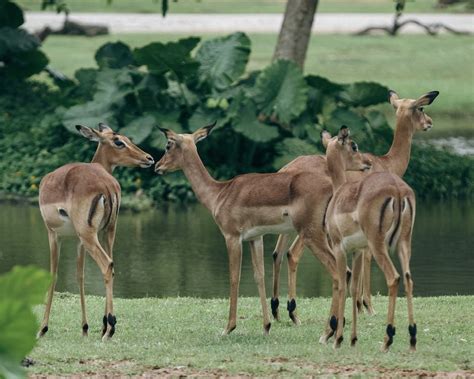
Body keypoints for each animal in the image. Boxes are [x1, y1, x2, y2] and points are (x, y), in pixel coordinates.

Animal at [36, 123, 154, 340]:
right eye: (119, 141)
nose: (149, 158)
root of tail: (107, 184)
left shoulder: (54, 234)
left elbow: (54, 274)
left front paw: (42, 328)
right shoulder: (79, 241)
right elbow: (80, 276)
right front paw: (85, 327)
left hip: (89, 235)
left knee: (106, 264)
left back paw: (110, 329)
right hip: (107, 232)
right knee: (111, 266)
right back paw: (106, 326)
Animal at [155, 123, 366, 336]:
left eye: (168, 145)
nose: (157, 166)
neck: (219, 193)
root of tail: (335, 189)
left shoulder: (232, 237)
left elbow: (234, 277)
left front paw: (228, 327)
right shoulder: (255, 238)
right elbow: (259, 276)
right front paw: (266, 326)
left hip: (312, 234)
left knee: (337, 272)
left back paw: (330, 329)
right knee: (343, 271)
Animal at [268, 90, 438, 326]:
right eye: (421, 108)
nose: (429, 122)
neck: (387, 163)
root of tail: (286, 170)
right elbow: (366, 260)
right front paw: (366, 306)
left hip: (289, 227)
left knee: (277, 254)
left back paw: (278, 311)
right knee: (292, 254)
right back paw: (294, 313)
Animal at [324, 126, 416, 352]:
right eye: (354, 146)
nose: (366, 162)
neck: (339, 193)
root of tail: (398, 190)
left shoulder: (339, 248)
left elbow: (342, 286)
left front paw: (338, 339)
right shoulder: (357, 251)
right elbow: (354, 288)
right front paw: (352, 339)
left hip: (378, 245)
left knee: (394, 277)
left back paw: (388, 339)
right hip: (403, 243)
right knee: (408, 278)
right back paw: (412, 338)